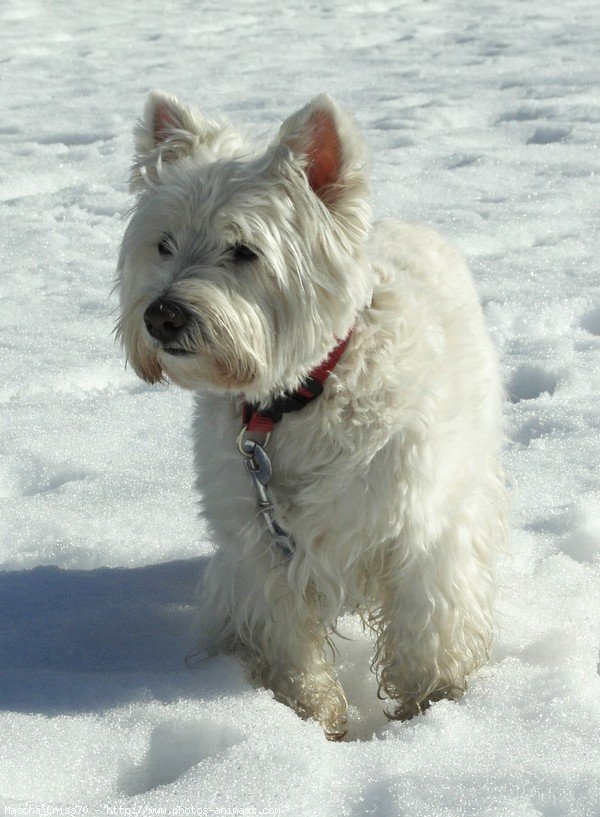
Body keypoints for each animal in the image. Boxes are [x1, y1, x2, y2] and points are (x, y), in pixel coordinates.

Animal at [116, 91, 506, 740]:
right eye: (163, 243)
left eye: (243, 250)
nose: (163, 316)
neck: (296, 400)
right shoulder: (260, 544)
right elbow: (287, 640)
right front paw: (311, 715)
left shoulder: (417, 527)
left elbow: (426, 628)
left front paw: (430, 707)